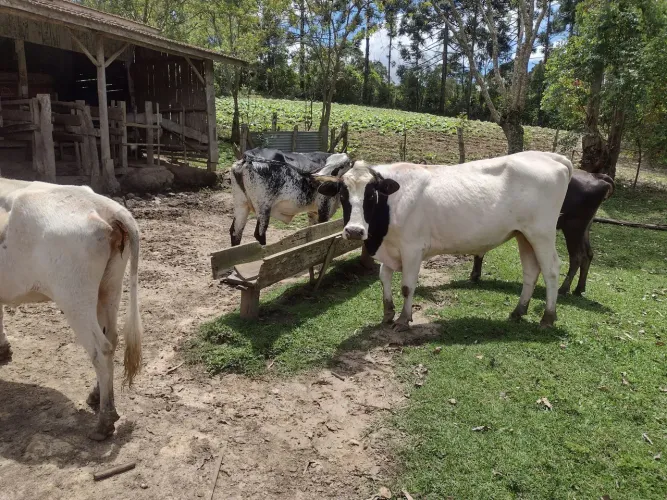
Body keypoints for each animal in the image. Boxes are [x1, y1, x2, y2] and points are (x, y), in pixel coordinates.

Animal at [0, 179, 142, 441]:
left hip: (73, 296)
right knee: (112, 338)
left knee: (101, 348)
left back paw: (104, 421)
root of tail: (106, 207)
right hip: (110, 286)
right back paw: (97, 396)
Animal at [316, 151, 573, 330]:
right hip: (523, 234)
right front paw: (388, 313)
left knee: (551, 269)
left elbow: (407, 286)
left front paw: (403, 319)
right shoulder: (390, 248)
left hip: (542, 233)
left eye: (371, 193)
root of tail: (549, 156)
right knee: (531, 270)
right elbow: (383, 277)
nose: (355, 231)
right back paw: (518, 312)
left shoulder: (412, 248)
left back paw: (548, 317)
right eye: (342, 193)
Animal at [469, 170, 615, 295]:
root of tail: (597, 176)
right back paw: (579, 289)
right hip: (584, 228)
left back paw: (563, 289)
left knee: (577, 257)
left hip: (573, 227)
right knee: (588, 254)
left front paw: (474, 275)